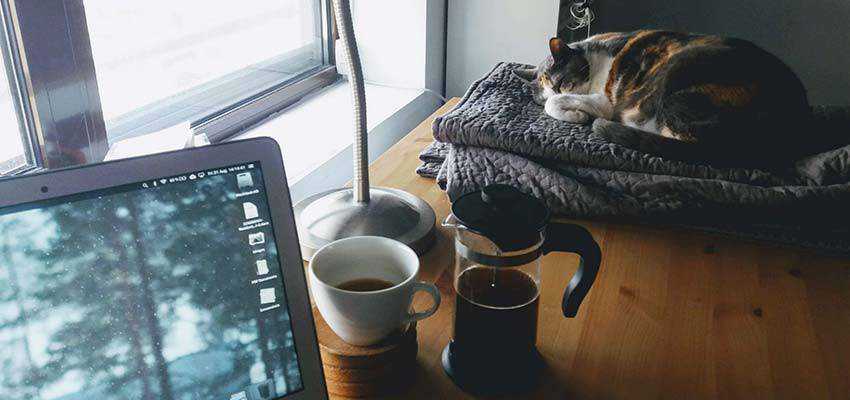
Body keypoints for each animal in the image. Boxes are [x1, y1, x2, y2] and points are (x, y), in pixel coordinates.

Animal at [510, 30, 816, 166]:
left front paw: (576, 114)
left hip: (668, 83)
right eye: (543, 92)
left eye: (562, 83)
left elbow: (561, 106)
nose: (562, 91)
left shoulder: (606, 101)